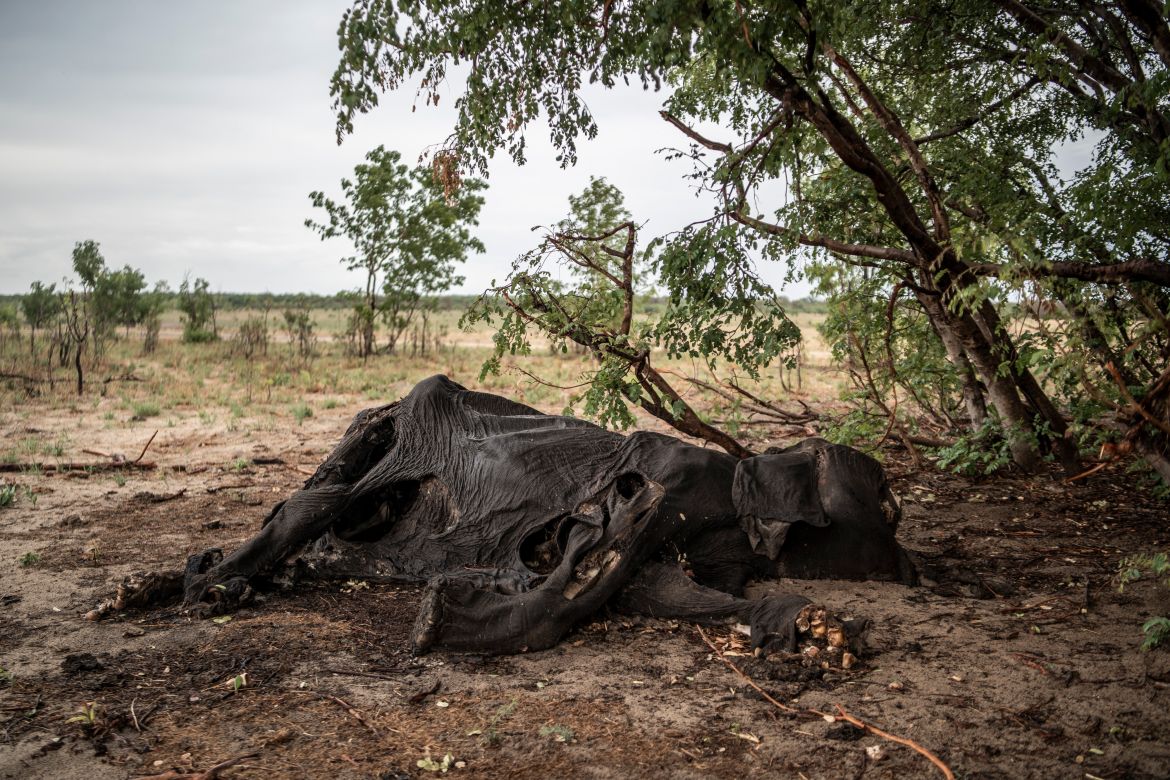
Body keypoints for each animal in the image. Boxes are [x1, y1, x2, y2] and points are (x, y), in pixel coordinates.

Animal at [94, 375, 916, 661]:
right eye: (888, 503)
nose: (913, 564)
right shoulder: (655, 489)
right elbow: (571, 584)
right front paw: (445, 623)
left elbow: (667, 594)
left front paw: (815, 627)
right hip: (385, 442)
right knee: (305, 506)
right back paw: (205, 586)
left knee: (312, 542)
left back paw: (153, 587)